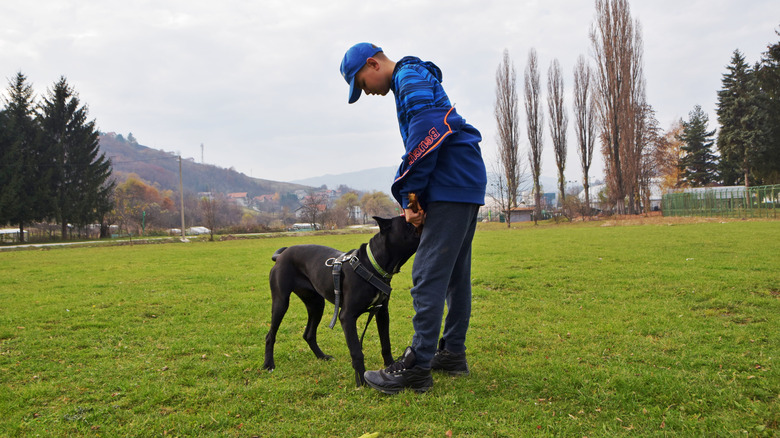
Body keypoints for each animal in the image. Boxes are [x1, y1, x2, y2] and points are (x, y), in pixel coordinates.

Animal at [262, 216, 420, 386]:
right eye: (408, 223)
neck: (372, 265)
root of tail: (281, 255)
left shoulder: (382, 313)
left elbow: (386, 343)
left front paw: (391, 367)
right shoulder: (347, 317)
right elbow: (357, 351)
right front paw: (362, 381)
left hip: (316, 305)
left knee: (308, 334)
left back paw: (322, 356)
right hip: (281, 302)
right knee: (270, 335)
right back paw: (269, 364)